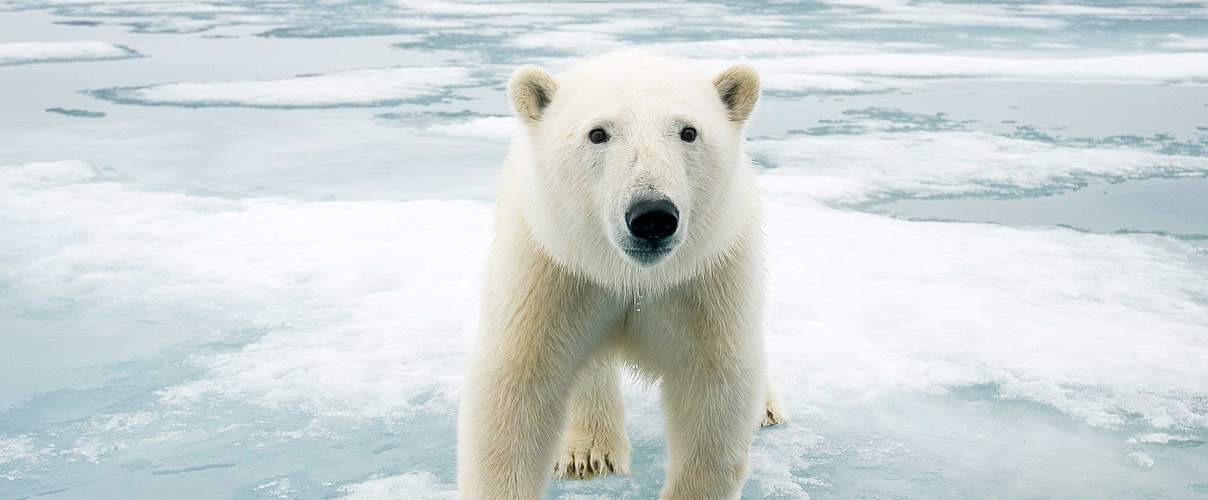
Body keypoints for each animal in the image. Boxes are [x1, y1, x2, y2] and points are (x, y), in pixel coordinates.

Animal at [456, 51, 787, 500]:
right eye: (598, 133)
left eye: (688, 131)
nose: (652, 216)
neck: (631, 276)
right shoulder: (553, 270)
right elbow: (517, 385)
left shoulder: (705, 280)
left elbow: (714, 390)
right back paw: (588, 450)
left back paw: (765, 408)